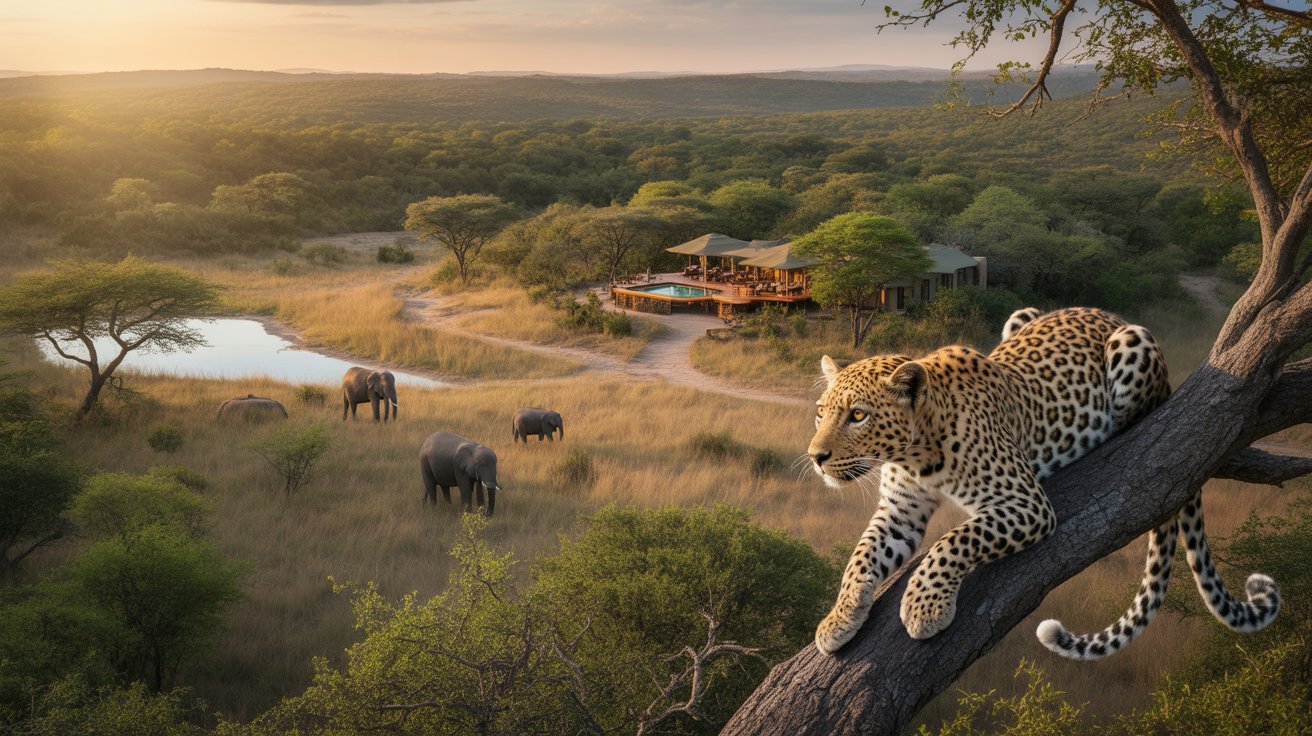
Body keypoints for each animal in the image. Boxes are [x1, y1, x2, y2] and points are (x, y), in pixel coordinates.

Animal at [808, 306, 1280, 659]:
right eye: (821, 412)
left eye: (858, 415)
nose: (815, 457)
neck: (913, 454)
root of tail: (1108, 313)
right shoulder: (899, 512)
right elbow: (861, 556)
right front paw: (838, 619)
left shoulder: (1026, 502)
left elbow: (953, 541)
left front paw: (924, 606)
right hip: (1023, 315)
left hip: (1134, 342)